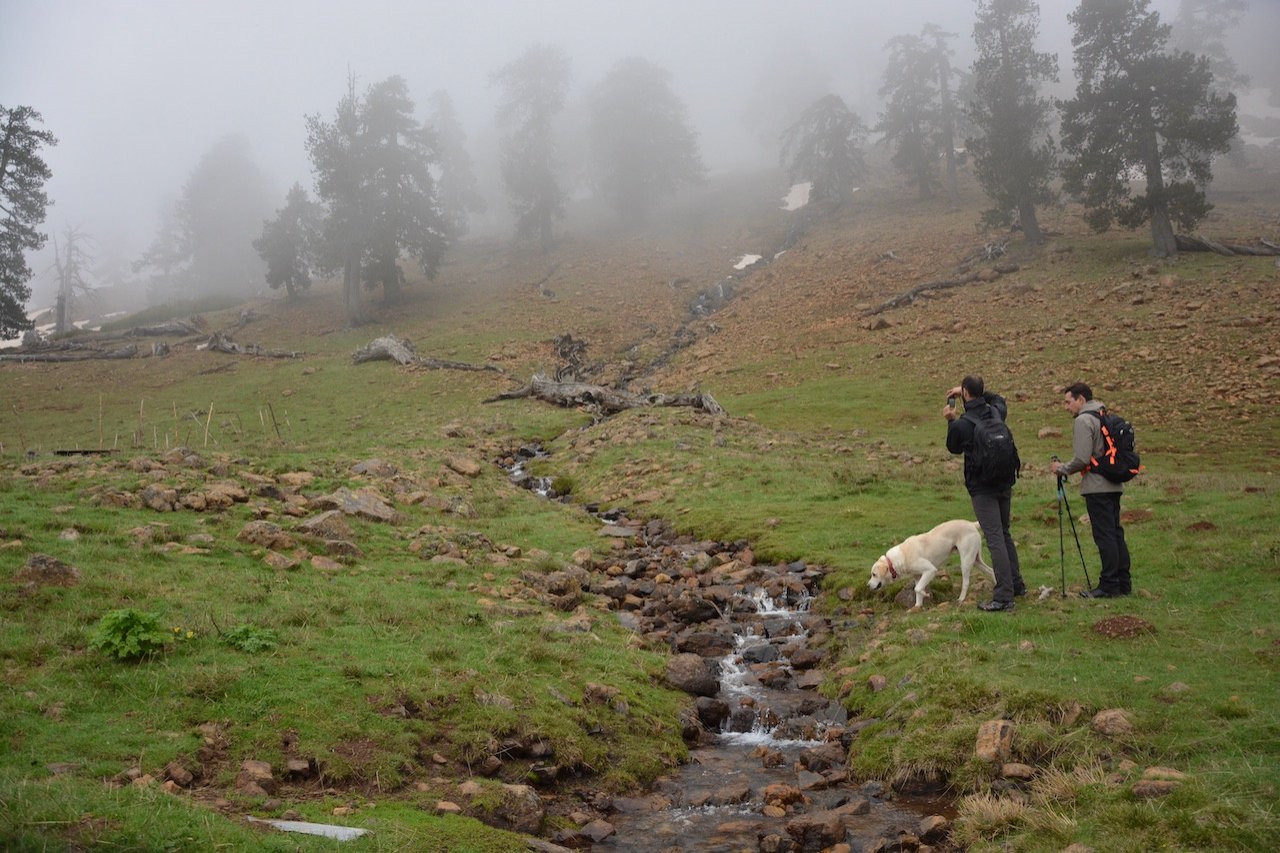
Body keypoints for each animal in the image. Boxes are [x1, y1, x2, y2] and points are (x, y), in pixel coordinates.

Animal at [865, 514, 993, 607]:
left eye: (874, 574)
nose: (867, 586)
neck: (900, 557)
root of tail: (971, 524)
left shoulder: (930, 570)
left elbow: (917, 589)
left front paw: (926, 595)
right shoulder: (917, 576)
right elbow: (917, 591)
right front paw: (917, 606)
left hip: (966, 560)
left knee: (966, 582)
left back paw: (961, 599)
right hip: (976, 560)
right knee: (991, 570)